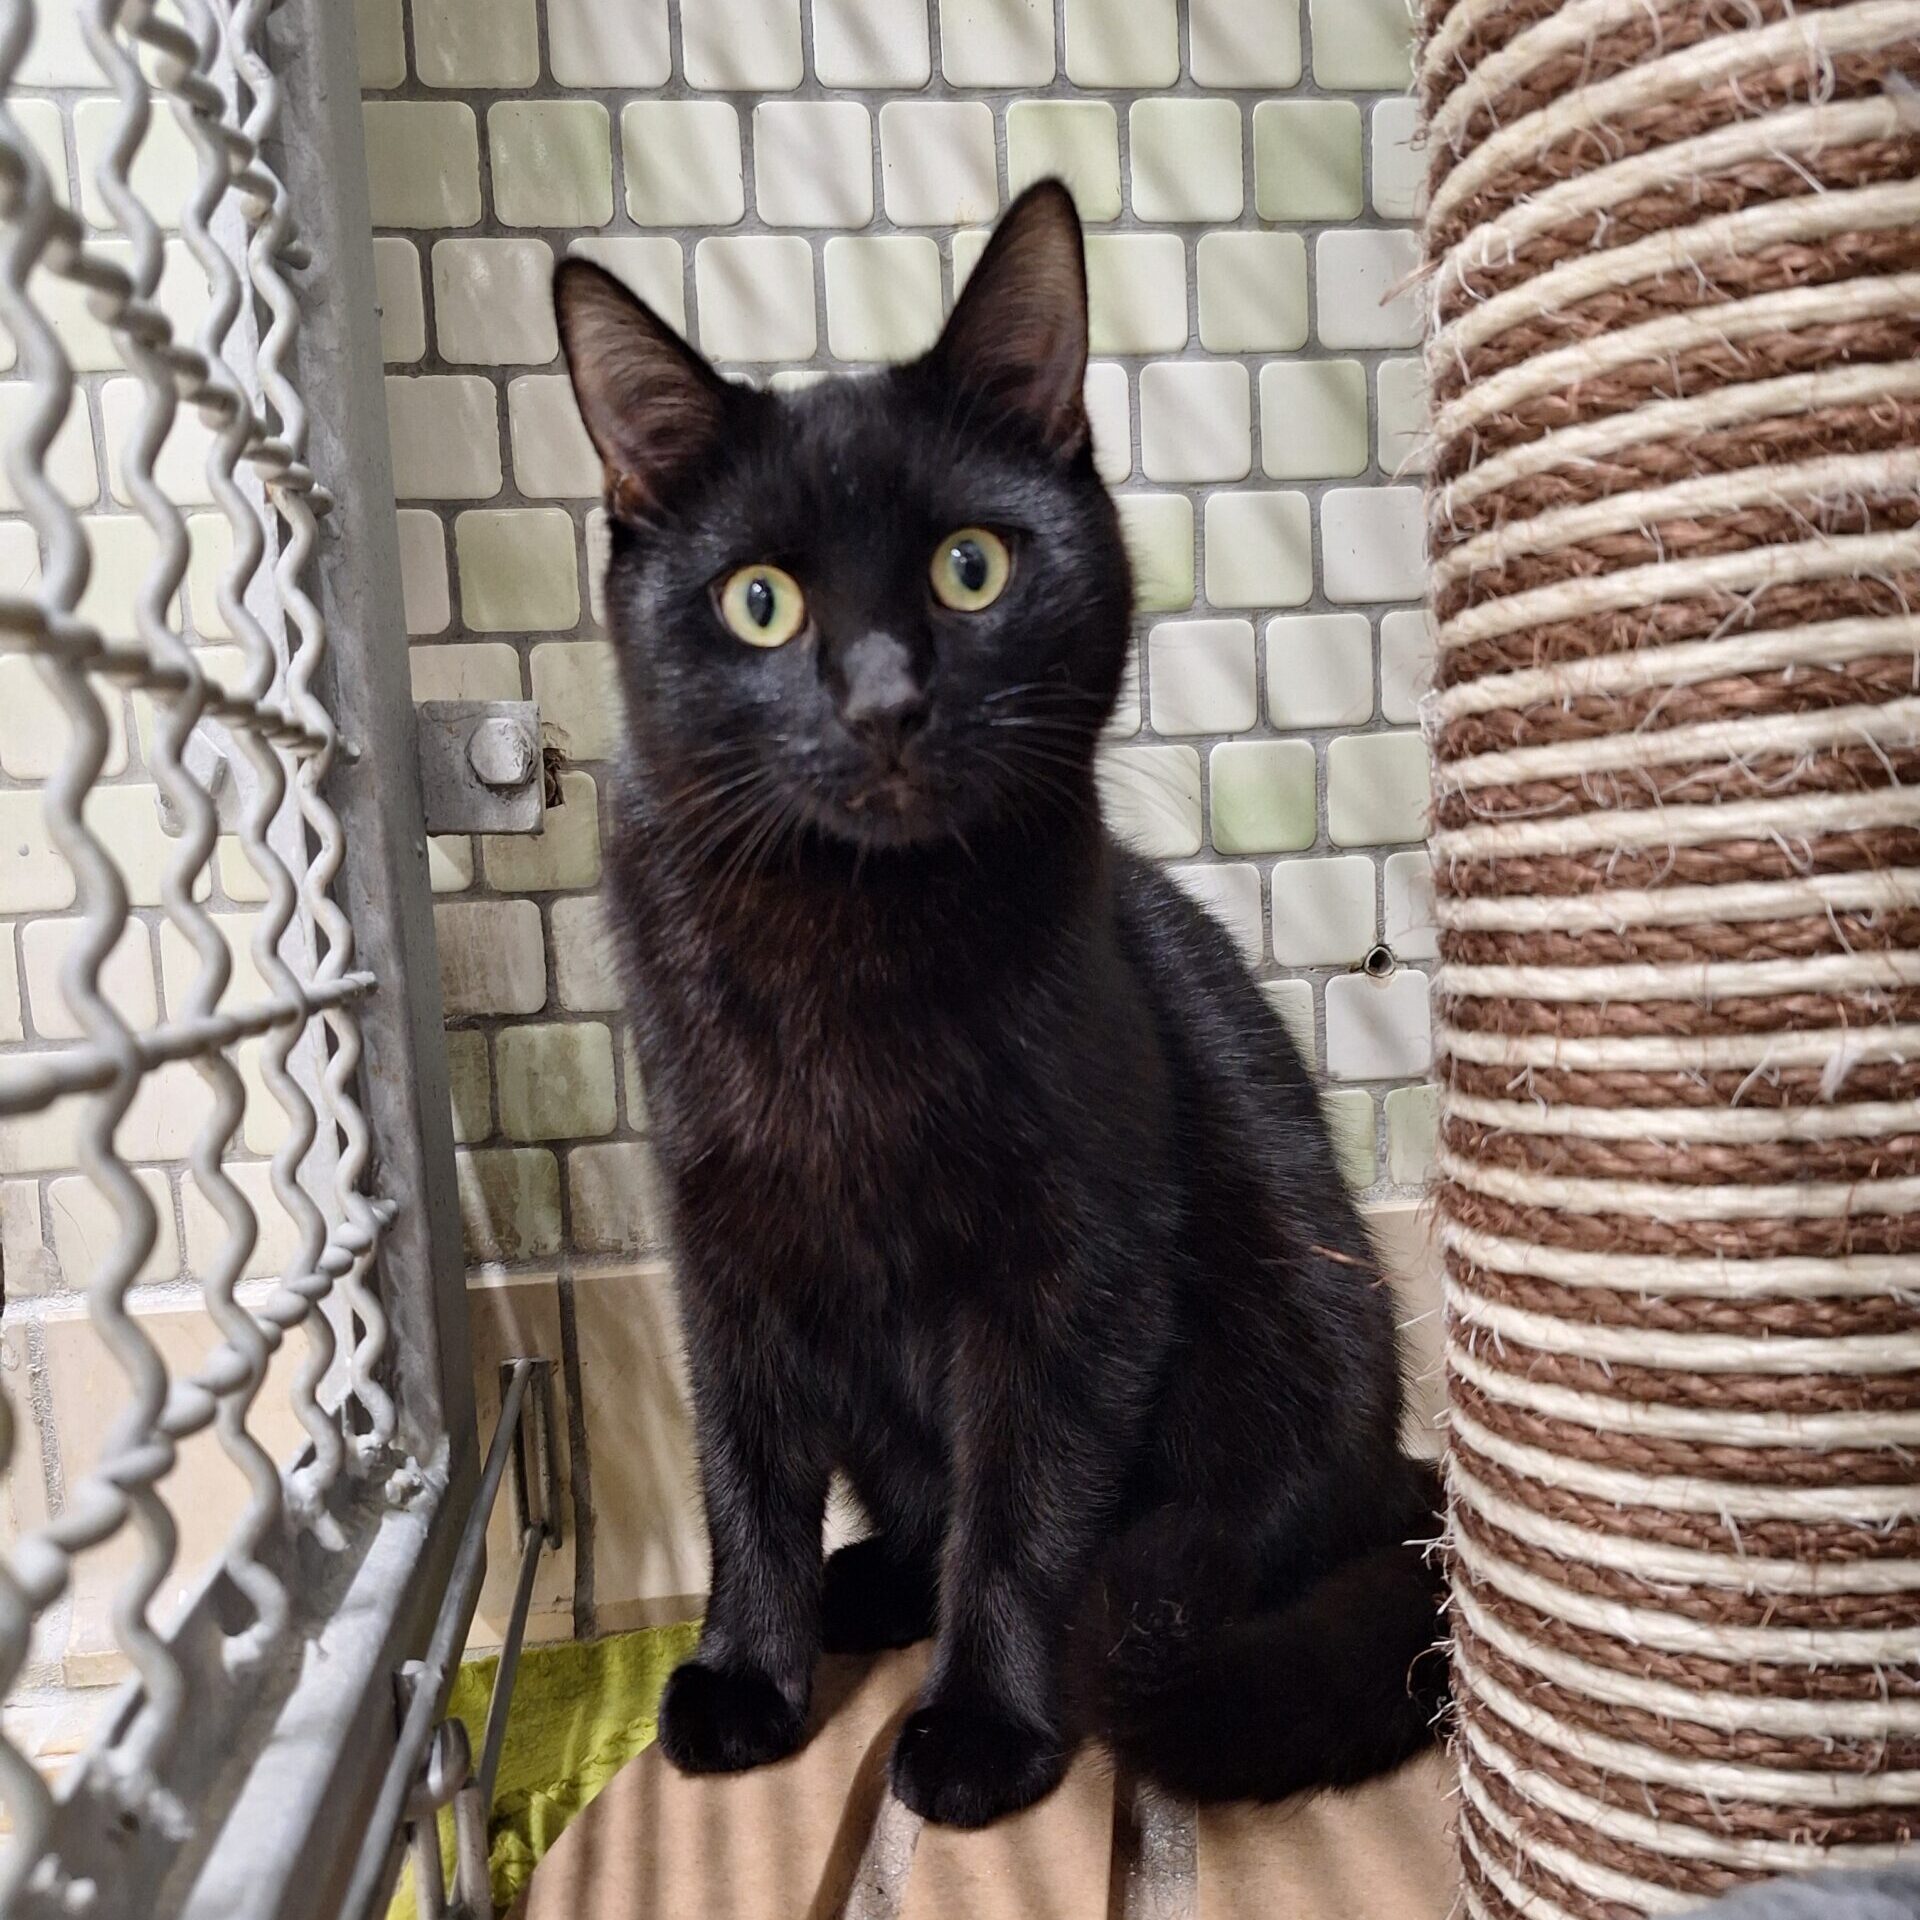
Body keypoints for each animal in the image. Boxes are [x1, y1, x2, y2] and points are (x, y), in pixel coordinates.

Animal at [552, 179, 1446, 1830]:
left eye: (973, 567)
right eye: (759, 602)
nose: (885, 702)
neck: (849, 935)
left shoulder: (1077, 1264)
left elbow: (1025, 1506)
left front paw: (982, 1729)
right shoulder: (722, 1240)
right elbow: (742, 1470)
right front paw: (747, 1672)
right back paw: (855, 1589)